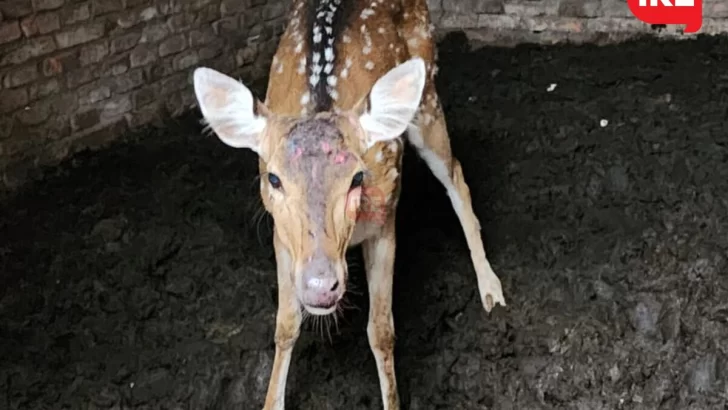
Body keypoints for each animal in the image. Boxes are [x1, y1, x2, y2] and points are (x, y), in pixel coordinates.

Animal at [191, 0, 504, 406]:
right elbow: (285, 325)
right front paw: (271, 401)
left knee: (457, 177)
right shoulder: (281, 234)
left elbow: (381, 331)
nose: (320, 284)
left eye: (357, 177)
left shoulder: (385, 220)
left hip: (428, 99)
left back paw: (491, 289)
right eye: (273, 178)